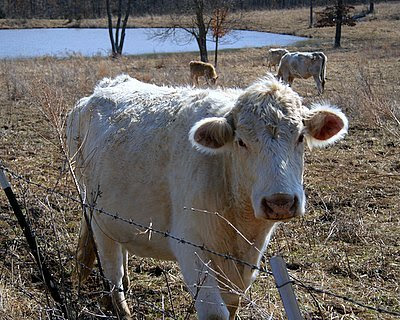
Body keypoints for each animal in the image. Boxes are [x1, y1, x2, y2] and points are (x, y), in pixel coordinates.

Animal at [65, 74, 346, 318]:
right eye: (241, 142)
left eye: (299, 137)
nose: (280, 202)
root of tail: (100, 89)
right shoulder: (189, 245)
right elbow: (214, 313)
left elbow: (232, 305)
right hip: (96, 214)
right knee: (112, 270)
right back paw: (123, 308)